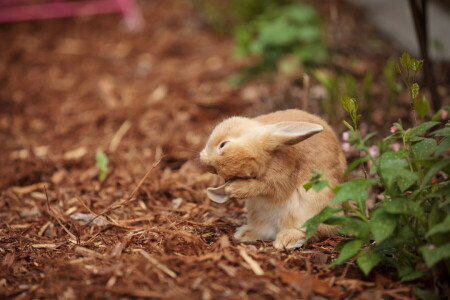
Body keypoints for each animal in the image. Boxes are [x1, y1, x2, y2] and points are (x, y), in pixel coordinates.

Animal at [200, 109, 344, 250]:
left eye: (223, 144)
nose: (206, 165)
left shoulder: (281, 177)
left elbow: (266, 187)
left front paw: (234, 189)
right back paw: (244, 233)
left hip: (314, 206)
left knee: (315, 230)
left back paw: (288, 239)